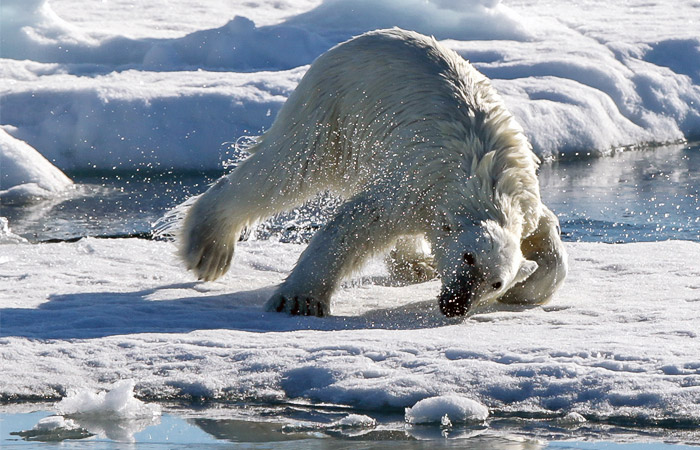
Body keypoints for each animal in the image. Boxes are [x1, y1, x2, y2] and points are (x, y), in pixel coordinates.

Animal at [178, 28, 568, 316]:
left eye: (495, 281)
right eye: (467, 258)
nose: (455, 304)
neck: (486, 188)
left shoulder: (526, 204)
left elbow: (549, 242)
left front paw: (527, 286)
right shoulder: (418, 187)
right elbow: (358, 224)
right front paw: (299, 300)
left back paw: (417, 265)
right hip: (332, 111)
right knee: (285, 172)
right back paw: (209, 251)